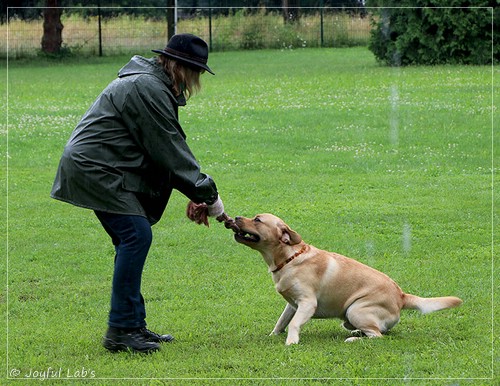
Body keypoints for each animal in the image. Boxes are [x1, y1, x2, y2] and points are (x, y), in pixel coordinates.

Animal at [232, 213, 462, 346]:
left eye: (257, 220)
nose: (235, 217)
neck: (290, 258)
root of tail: (402, 296)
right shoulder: (292, 305)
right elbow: (282, 321)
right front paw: (274, 335)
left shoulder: (307, 303)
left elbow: (294, 323)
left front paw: (291, 342)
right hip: (350, 318)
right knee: (375, 330)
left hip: (356, 310)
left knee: (377, 335)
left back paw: (352, 339)